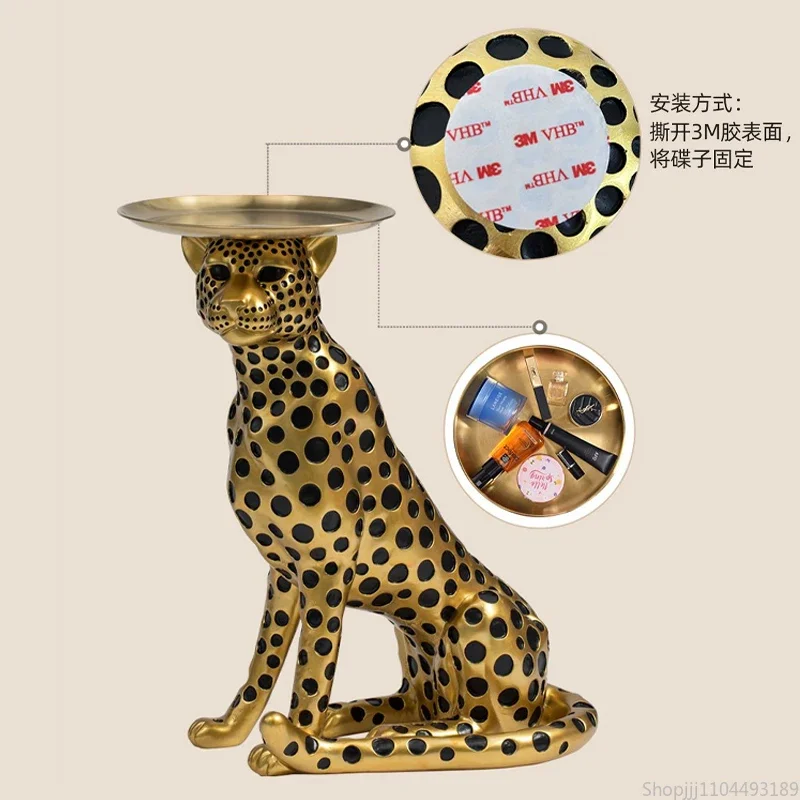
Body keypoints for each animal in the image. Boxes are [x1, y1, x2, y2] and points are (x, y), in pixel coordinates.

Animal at [177, 233, 597, 774]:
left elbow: (312, 675)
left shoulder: (325, 573)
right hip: (414, 650)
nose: (230, 305)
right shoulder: (284, 574)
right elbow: (262, 665)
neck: (265, 382)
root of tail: (543, 683)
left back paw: (395, 737)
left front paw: (293, 747)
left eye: (271, 273)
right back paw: (361, 720)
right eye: (219, 272)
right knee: (420, 704)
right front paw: (229, 729)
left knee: (485, 732)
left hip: (480, 616)